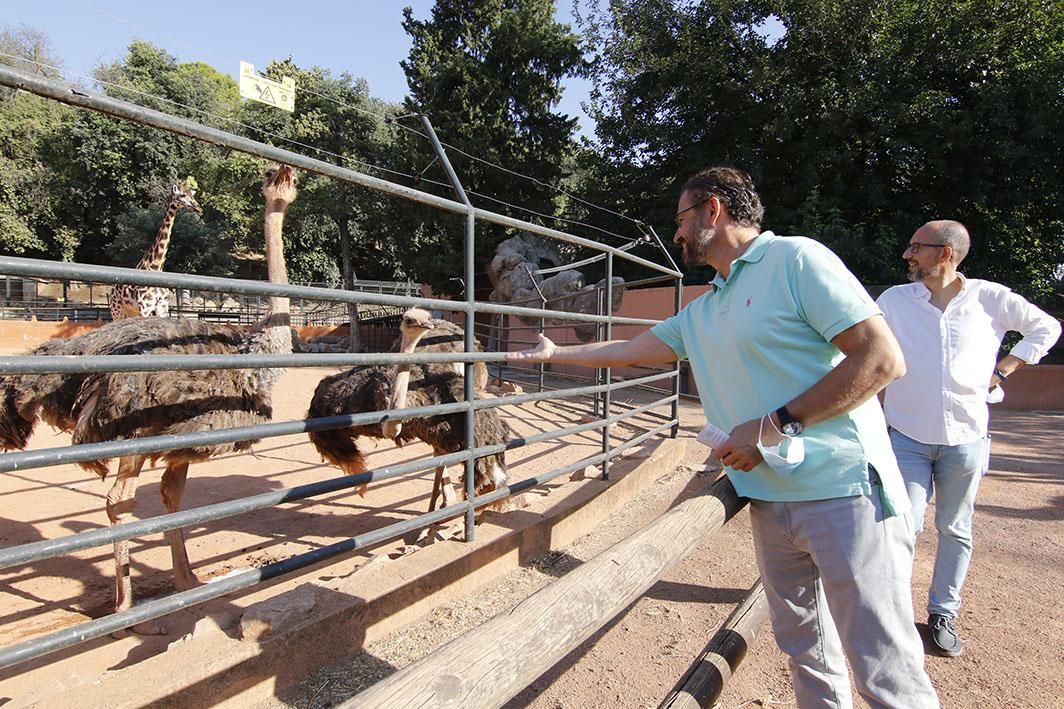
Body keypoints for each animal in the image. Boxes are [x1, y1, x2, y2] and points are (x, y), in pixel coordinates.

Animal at [107, 176, 201, 319]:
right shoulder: (145, 307)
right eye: (182, 195)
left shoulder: (162, 307)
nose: (198, 207)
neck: (156, 267)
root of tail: (112, 290)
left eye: (192, 194)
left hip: (130, 313)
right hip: (117, 311)